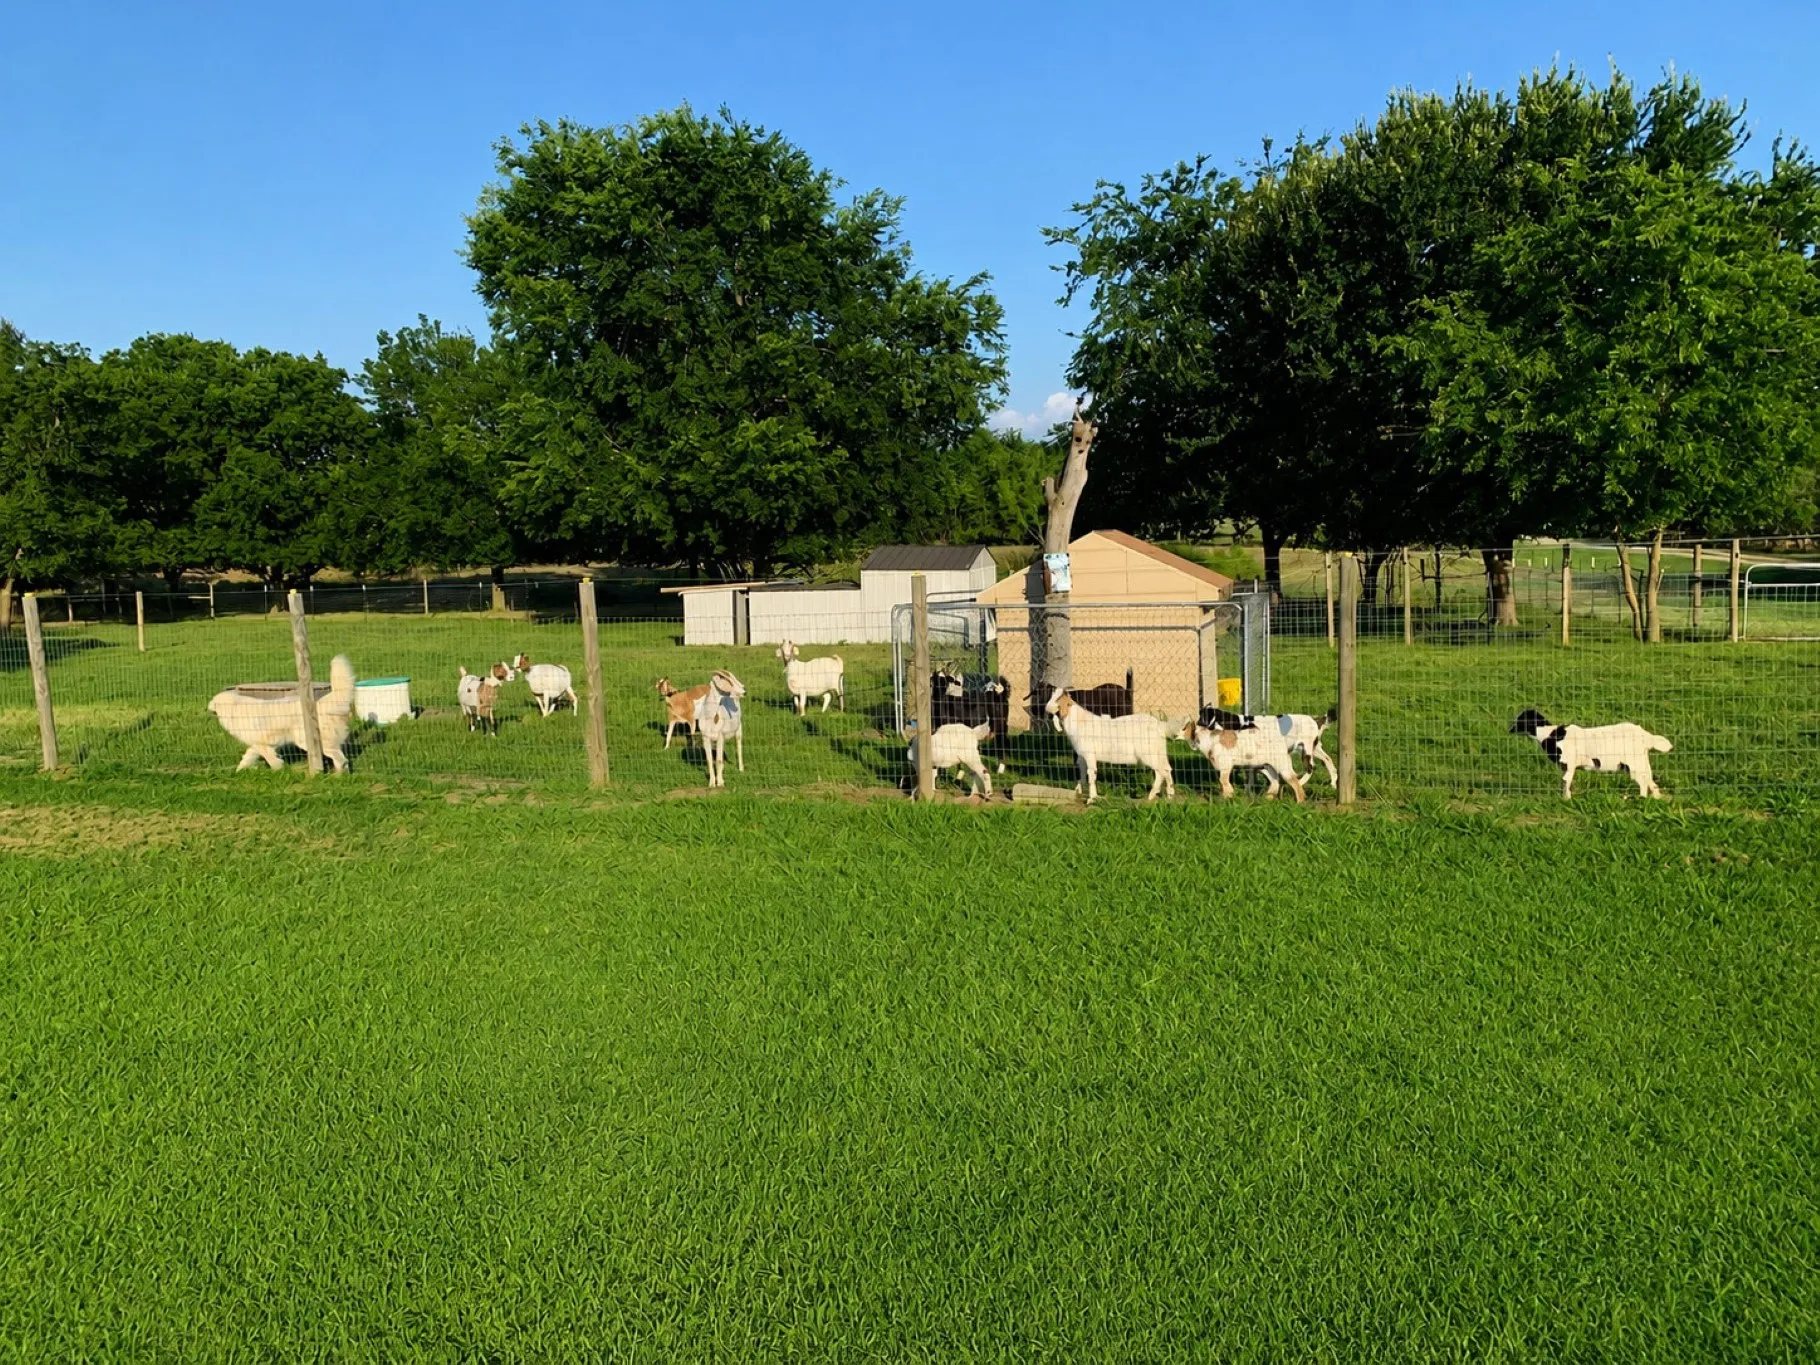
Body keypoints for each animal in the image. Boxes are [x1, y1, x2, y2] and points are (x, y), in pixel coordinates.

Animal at [209, 655, 357, 773]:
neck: (233, 708)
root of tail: (320, 703)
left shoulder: (261, 742)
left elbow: (268, 757)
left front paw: (278, 769)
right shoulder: (256, 743)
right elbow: (248, 756)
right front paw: (239, 771)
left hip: (306, 739)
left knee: (338, 756)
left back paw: (338, 774)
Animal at [1043, 686, 1174, 803]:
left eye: (1060, 698)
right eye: (1052, 695)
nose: (1047, 708)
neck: (1081, 722)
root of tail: (1160, 726)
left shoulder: (1090, 754)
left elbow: (1091, 775)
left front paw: (1092, 799)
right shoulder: (1081, 756)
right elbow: (1082, 772)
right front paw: (1079, 790)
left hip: (1148, 754)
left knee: (1160, 772)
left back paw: (1153, 795)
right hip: (1160, 752)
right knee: (1167, 769)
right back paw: (1169, 795)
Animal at [1511, 709, 1671, 799]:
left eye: (1520, 720)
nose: (1510, 729)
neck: (1551, 734)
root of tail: (1646, 736)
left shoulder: (1569, 763)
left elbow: (1565, 780)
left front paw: (1567, 799)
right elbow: (1565, 782)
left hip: (1633, 765)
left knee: (1643, 782)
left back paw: (1642, 799)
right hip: (1641, 762)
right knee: (1651, 781)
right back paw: (1656, 798)